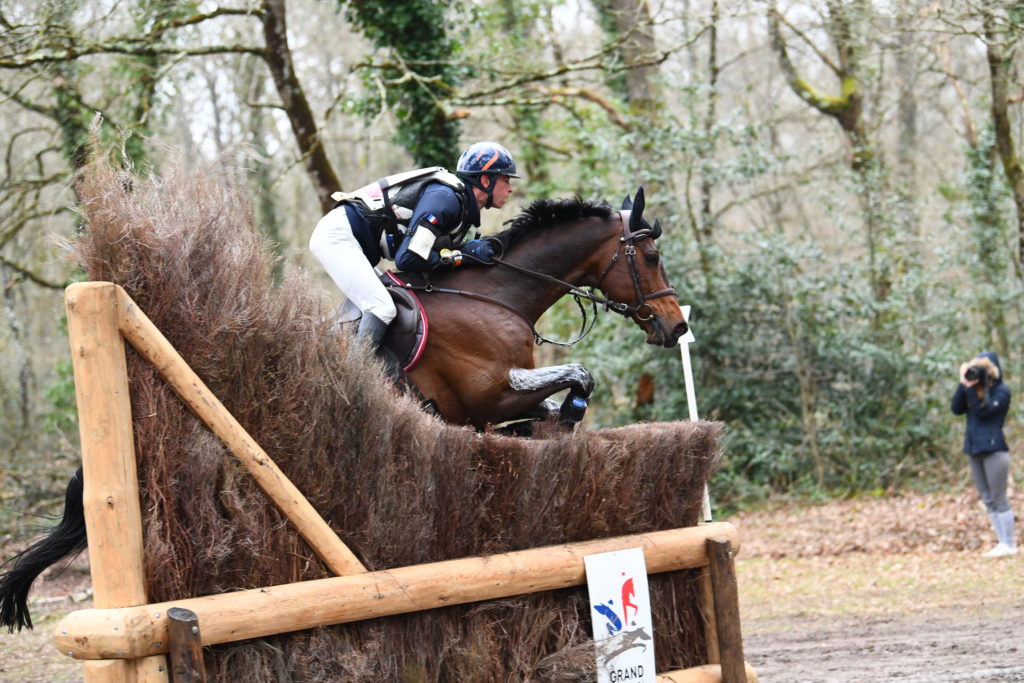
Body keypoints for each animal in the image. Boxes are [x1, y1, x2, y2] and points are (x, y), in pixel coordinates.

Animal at [391, 187, 688, 430]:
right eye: (652, 257)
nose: (679, 325)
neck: (491, 296)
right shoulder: (489, 398)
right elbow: (581, 375)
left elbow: (555, 404)